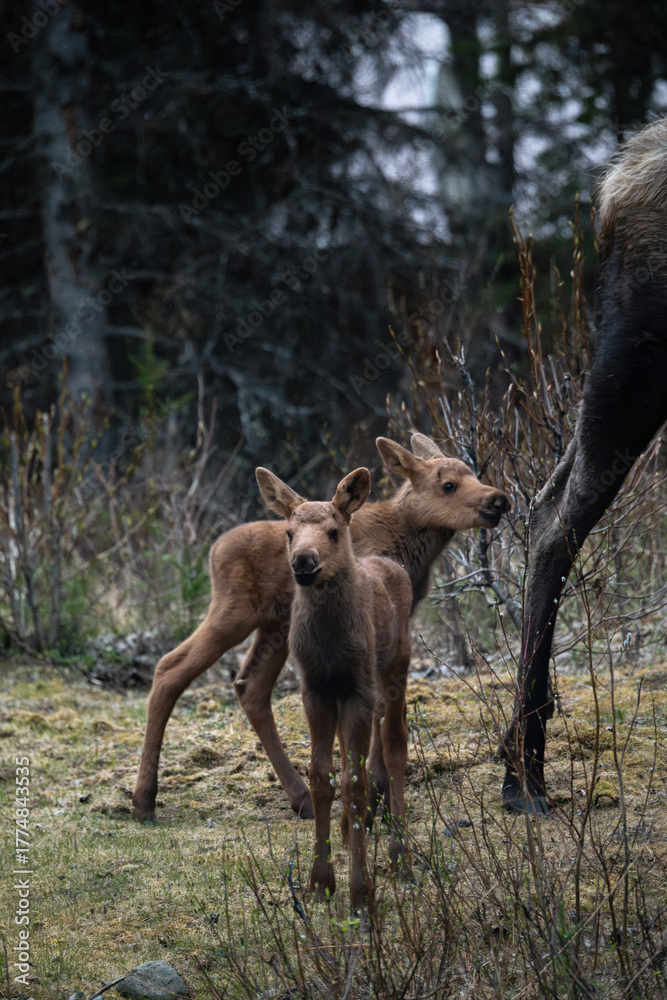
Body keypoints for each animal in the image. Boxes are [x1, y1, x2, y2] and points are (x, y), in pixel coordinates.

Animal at [133, 433, 511, 822]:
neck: (411, 548)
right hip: (233, 612)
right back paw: (144, 799)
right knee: (169, 668)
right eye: (448, 485)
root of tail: (212, 551)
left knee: (249, 686)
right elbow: (377, 710)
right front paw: (375, 796)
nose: (499, 499)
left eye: (472, 473)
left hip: (275, 625)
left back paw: (301, 797)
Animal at [256, 465, 412, 911]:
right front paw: (320, 880)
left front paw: (361, 891)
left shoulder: (359, 688)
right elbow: (321, 776)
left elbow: (355, 783)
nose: (303, 561)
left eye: (332, 531)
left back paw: (401, 857)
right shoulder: (316, 689)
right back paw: (347, 832)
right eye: (289, 532)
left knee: (395, 748)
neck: (329, 644)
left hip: (395, 669)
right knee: (353, 753)